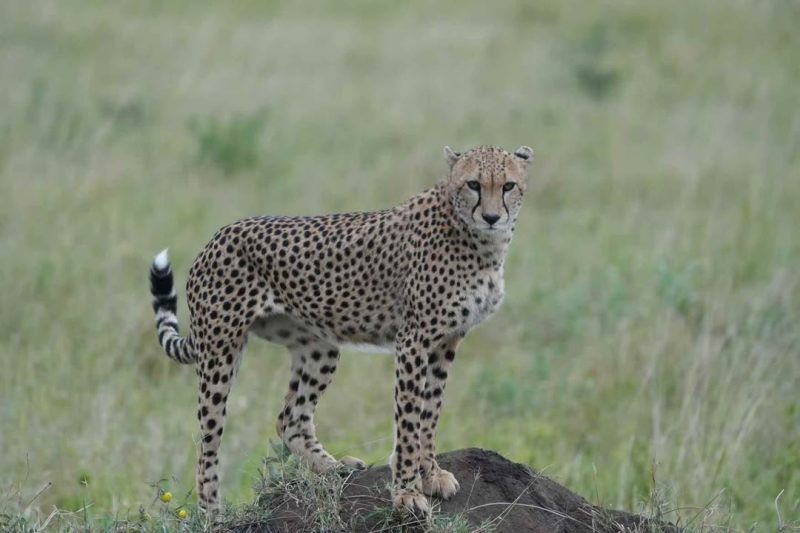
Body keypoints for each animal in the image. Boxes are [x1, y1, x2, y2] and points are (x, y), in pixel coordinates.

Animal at [148, 144, 534, 515]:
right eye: (473, 184)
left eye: (508, 186)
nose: (491, 217)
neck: (481, 243)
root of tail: (217, 235)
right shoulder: (414, 340)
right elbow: (410, 419)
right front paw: (407, 492)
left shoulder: (447, 341)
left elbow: (431, 411)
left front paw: (431, 474)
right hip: (221, 350)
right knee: (208, 439)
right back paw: (211, 510)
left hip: (319, 346)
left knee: (290, 418)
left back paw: (333, 468)